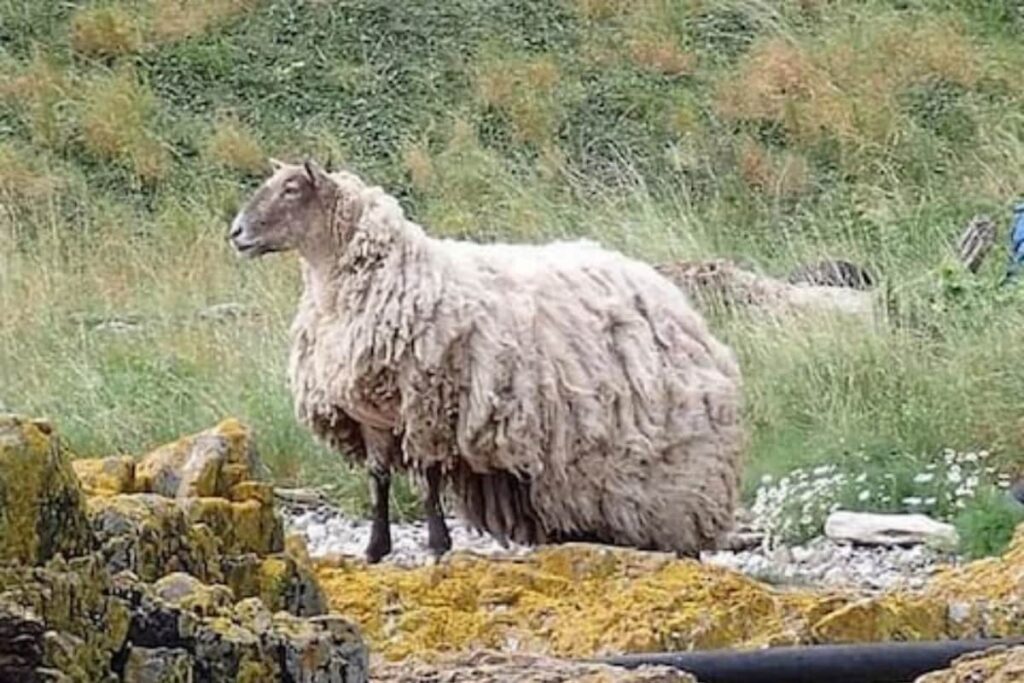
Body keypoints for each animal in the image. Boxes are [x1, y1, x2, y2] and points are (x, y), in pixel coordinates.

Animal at [228, 158, 746, 563]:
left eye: (291, 188)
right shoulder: (369, 413)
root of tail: (676, 301)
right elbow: (379, 481)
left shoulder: (428, 404)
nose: (236, 233)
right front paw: (375, 549)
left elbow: (428, 480)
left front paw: (438, 545)